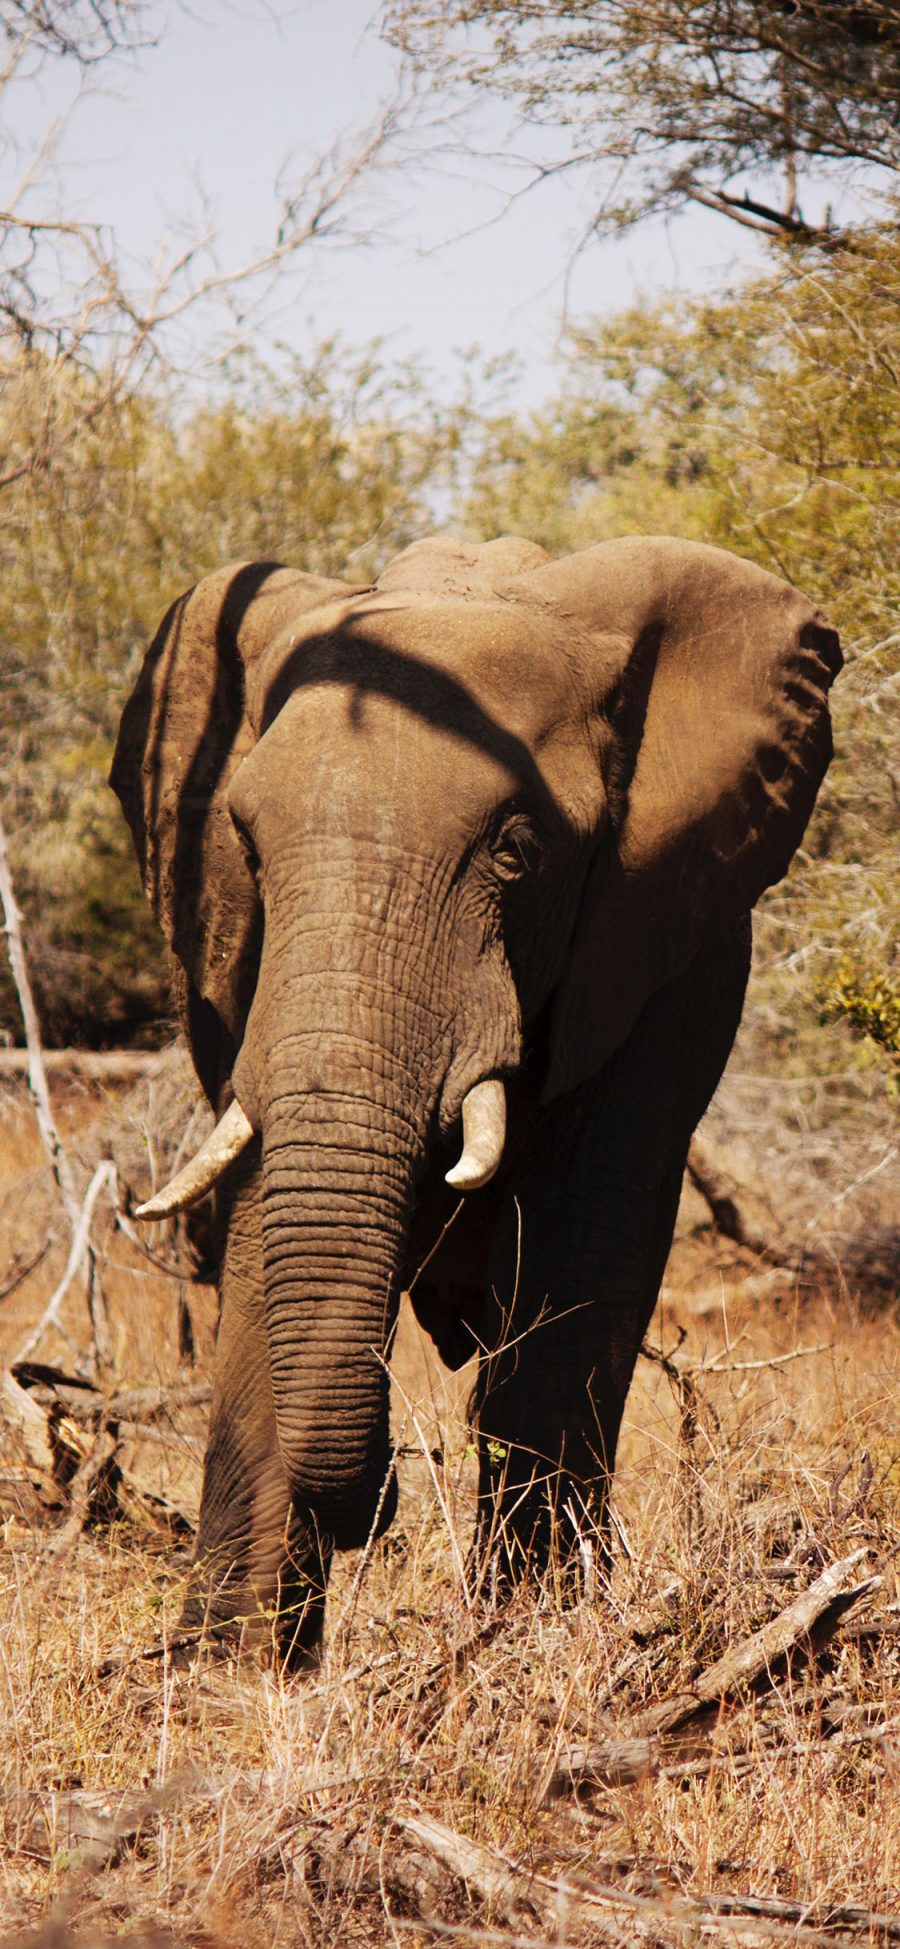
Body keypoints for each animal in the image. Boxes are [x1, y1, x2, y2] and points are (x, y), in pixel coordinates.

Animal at [112, 530, 845, 1660]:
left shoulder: (657, 958)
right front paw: (227, 1668)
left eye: (516, 849)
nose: (382, 1501)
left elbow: (580, 1247)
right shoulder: (242, 977)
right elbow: (262, 1215)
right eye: (247, 847)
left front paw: (535, 1634)